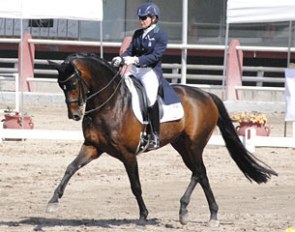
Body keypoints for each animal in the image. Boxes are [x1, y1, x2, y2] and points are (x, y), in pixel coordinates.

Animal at [47, 53, 278, 226]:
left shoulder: (127, 154)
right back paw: (198, 212)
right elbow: (70, 168)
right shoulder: (93, 146)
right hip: (182, 146)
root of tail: (206, 95)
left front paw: (143, 216)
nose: (75, 115)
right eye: (60, 85)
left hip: (194, 144)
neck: (110, 103)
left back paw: (198, 212)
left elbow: (136, 185)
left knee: (199, 172)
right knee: (199, 173)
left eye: (73, 83)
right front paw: (53, 201)